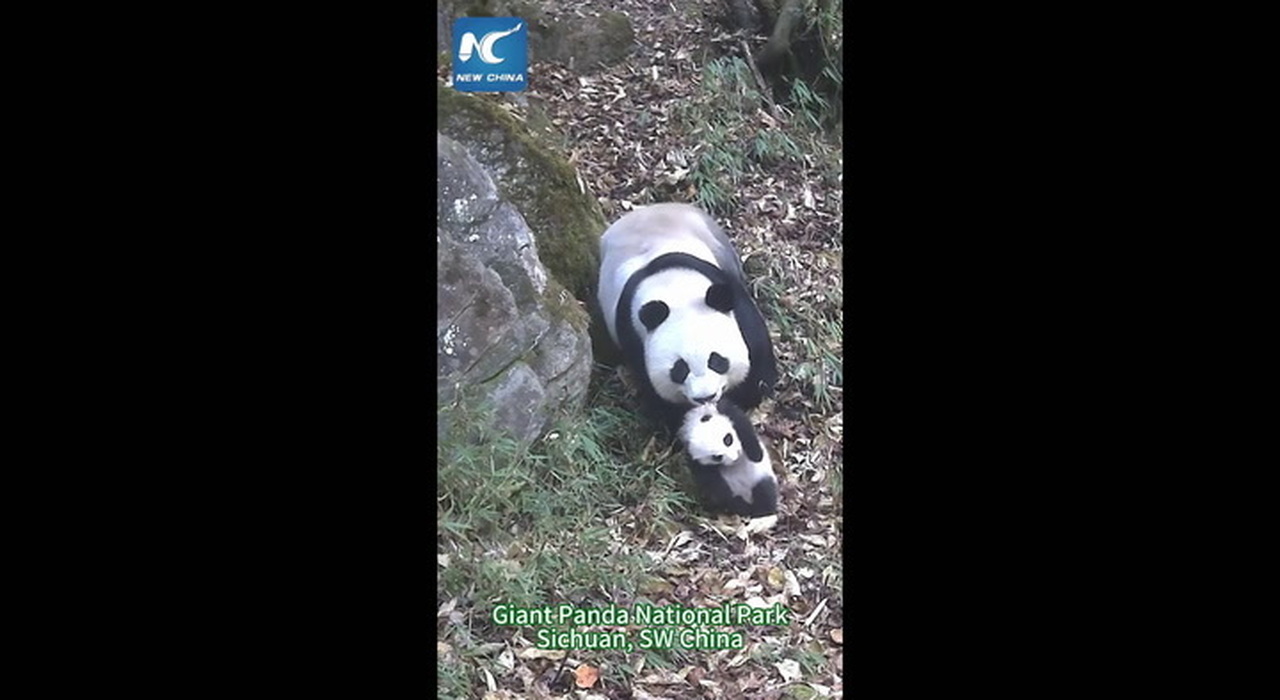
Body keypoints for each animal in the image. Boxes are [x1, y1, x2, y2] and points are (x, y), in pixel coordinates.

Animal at [597, 203, 777, 428]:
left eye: (716, 360)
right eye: (679, 369)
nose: (706, 397)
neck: (674, 290)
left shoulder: (727, 292)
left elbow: (756, 355)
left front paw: (749, 394)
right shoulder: (633, 336)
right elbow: (659, 395)